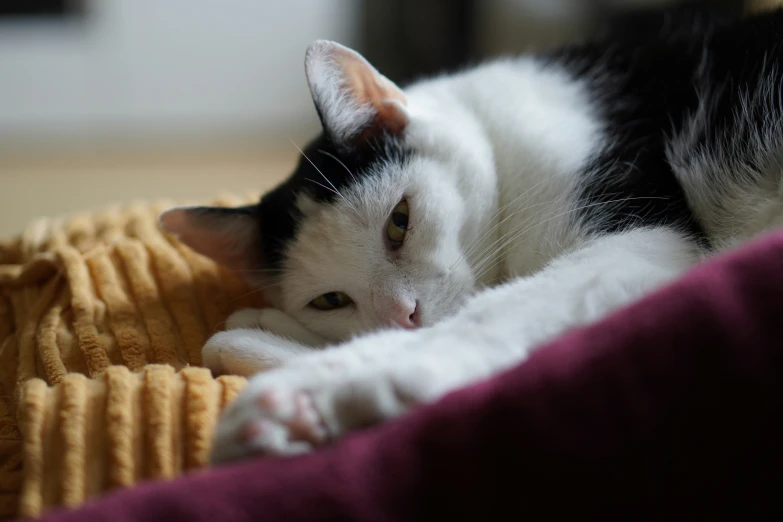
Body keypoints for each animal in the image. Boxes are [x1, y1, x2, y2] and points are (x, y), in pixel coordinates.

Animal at [159, 8, 783, 464]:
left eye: (399, 221)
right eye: (330, 300)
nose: (404, 314)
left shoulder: (641, 244)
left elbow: (492, 313)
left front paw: (322, 388)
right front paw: (271, 346)